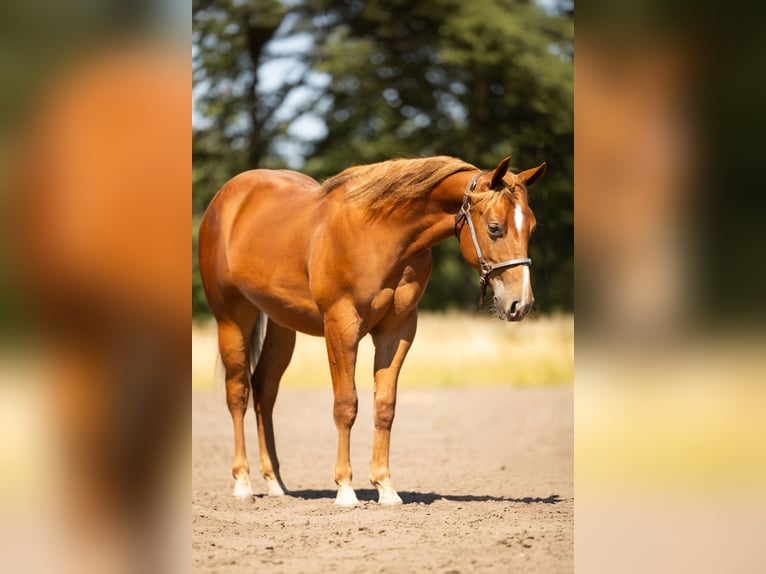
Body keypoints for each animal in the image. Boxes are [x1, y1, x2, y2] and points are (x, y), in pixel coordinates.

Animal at [198, 155, 546, 506]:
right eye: (494, 227)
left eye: (531, 227)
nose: (521, 303)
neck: (381, 234)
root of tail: (225, 199)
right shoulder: (341, 326)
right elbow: (346, 404)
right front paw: (345, 489)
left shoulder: (398, 330)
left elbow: (385, 406)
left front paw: (385, 487)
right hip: (232, 317)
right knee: (238, 392)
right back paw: (243, 483)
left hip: (282, 325)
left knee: (264, 391)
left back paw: (275, 483)